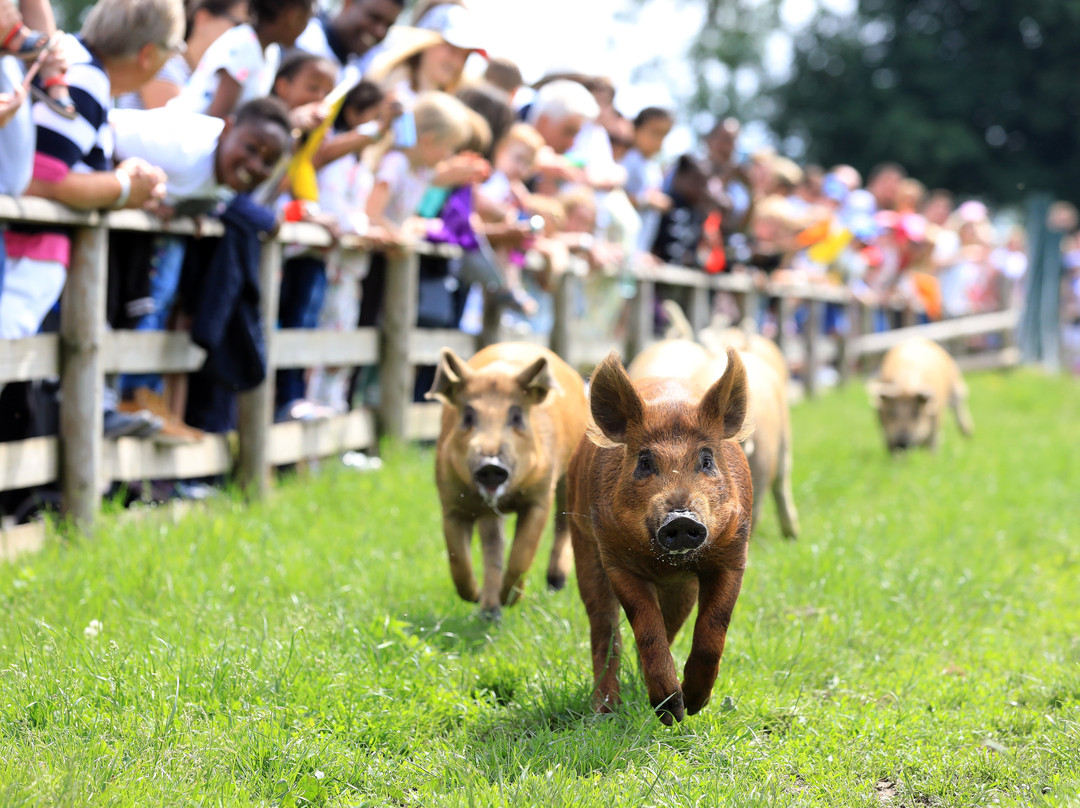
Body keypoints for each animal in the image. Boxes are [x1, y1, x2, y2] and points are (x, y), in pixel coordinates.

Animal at [425, 341, 587, 617]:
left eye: (517, 416)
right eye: (468, 416)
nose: (491, 465)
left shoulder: (540, 496)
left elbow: (522, 553)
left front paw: (510, 601)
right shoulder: (451, 500)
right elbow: (458, 559)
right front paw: (475, 598)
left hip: (569, 473)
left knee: (563, 522)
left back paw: (554, 583)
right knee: (494, 546)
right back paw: (489, 612)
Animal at [565, 347, 751, 725]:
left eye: (706, 460)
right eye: (645, 461)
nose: (679, 520)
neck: (667, 565)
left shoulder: (733, 555)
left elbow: (713, 629)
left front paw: (692, 706)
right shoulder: (616, 559)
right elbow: (646, 627)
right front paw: (670, 714)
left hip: (683, 590)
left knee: (671, 625)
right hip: (583, 545)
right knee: (605, 628)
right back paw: (605, 711)